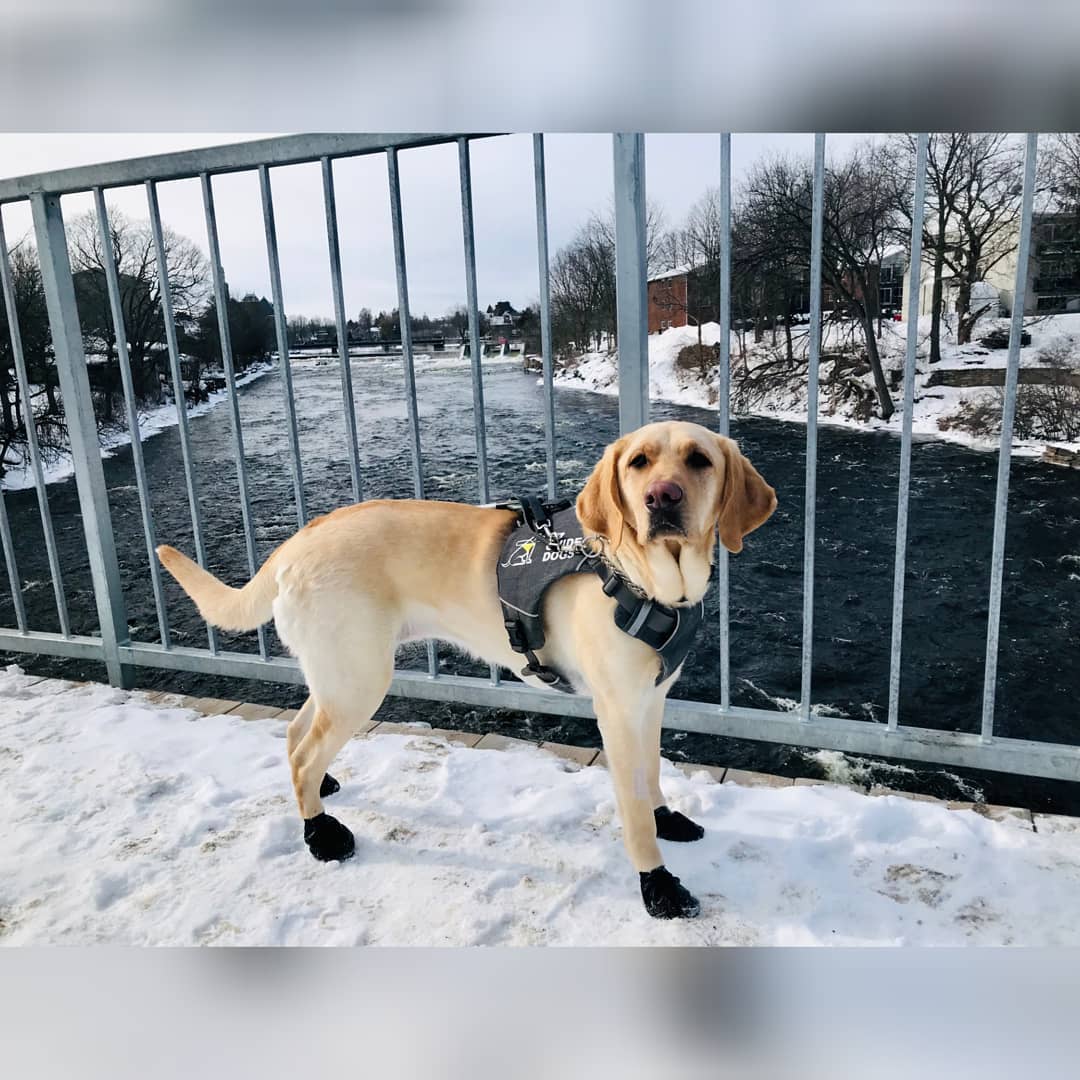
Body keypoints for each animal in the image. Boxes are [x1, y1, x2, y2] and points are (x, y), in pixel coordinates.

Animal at [156, 421, 773, 920]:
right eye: (638, 462)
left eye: (699, 460)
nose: (661, 497)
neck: (644, 583)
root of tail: (295, 542)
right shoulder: (617, 711)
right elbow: (634, 810)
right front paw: (659, 886)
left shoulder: (651, 699)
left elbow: (652, 774)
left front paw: (667, 816)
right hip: (359, 677)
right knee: (306, 750)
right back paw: (321, 832)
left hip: (338, 671)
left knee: (295, 733)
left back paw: (320, 790)